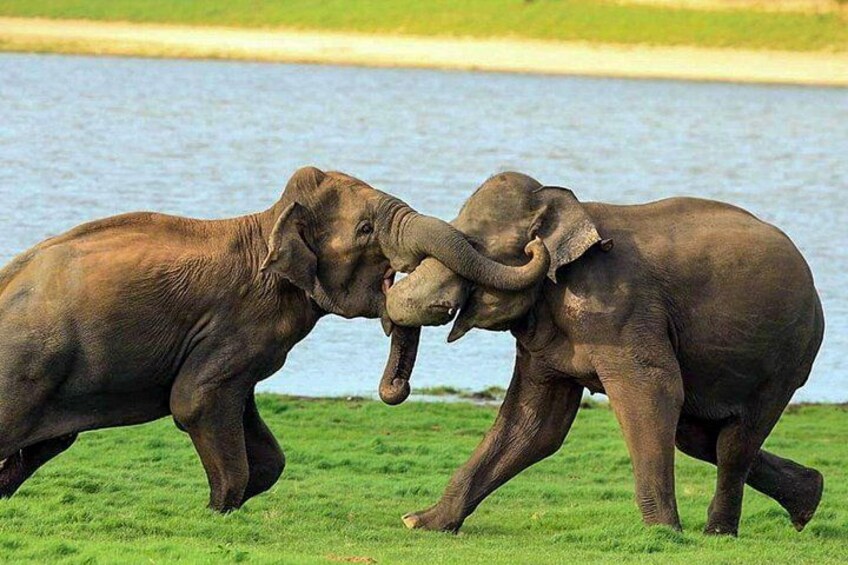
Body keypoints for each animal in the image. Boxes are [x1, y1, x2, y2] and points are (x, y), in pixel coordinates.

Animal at [0, 166, 547, 512]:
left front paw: (231, 502)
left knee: (49, 443)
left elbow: (263, 448)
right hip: (27, 369)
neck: (266, 224)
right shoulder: (235, 322)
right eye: (366, 229)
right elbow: (194, 401)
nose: (536, 244)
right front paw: (219, 510)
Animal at [385, 172, 825, 536]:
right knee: (698, 437)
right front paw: (420, 522)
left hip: (787, 358)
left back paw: (719, 533)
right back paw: (809, 498)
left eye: (472, 245)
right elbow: (536, 424)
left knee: (734, 443)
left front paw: (663, 532)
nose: (398, 388)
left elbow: (654, 391)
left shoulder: (619, 308)